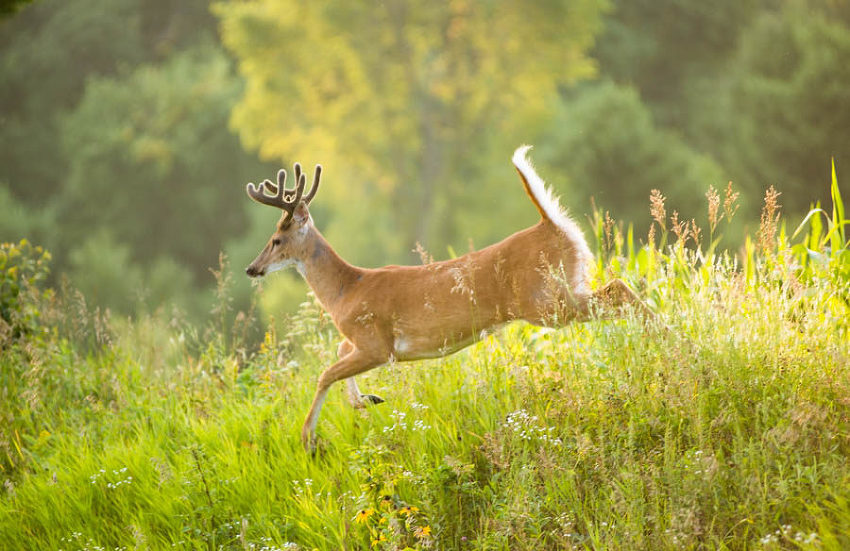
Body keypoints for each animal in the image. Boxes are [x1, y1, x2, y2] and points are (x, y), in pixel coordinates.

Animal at [242, 147, 652, 452]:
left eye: (276, 239)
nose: (252, 268)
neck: (347, 288)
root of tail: (553, 225)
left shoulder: (377, 344)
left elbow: (324, 373)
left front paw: (308, 439)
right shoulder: (363, 343)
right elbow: (337, 357)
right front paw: (368, 399)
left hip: (546, 301)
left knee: (619, 289)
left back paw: (660, 335)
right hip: (565, 288)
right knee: (621, 288)